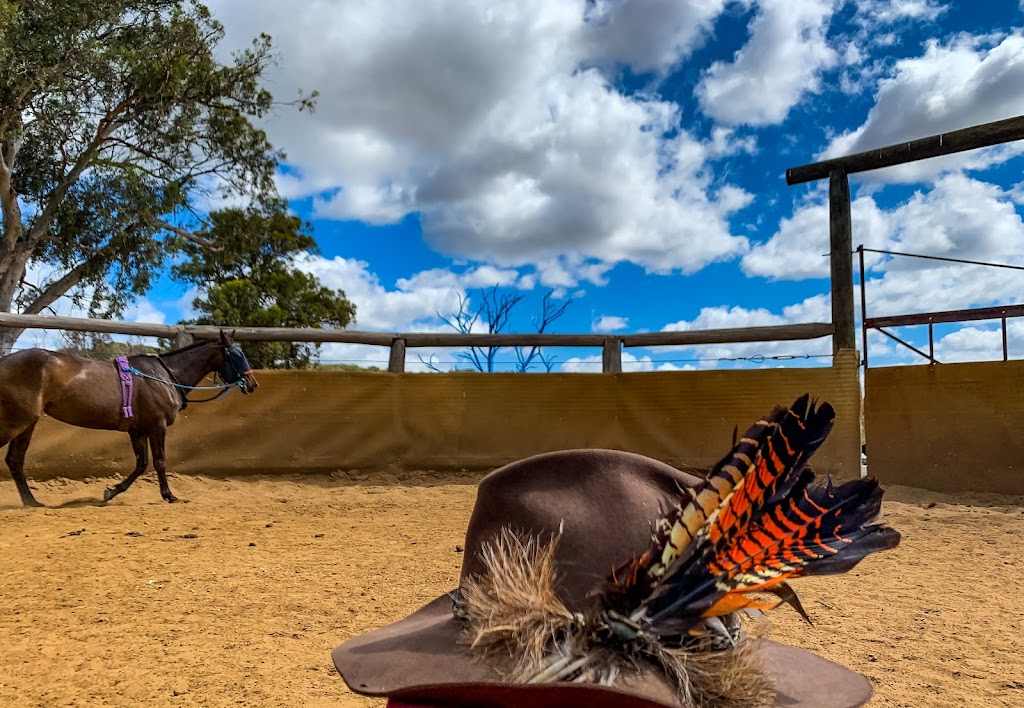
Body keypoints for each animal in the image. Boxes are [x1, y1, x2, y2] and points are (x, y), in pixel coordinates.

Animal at [0, 329, 256, 506]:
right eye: (236, 355)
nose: (252, 383)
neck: (162, 376)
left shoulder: (137, 430)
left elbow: (141, 464)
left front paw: (111, 491)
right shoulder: (157, 426)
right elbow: (159, 462)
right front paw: (169, 495)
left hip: (27, 424)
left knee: (15, 460)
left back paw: (31, 502)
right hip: (16, 421)